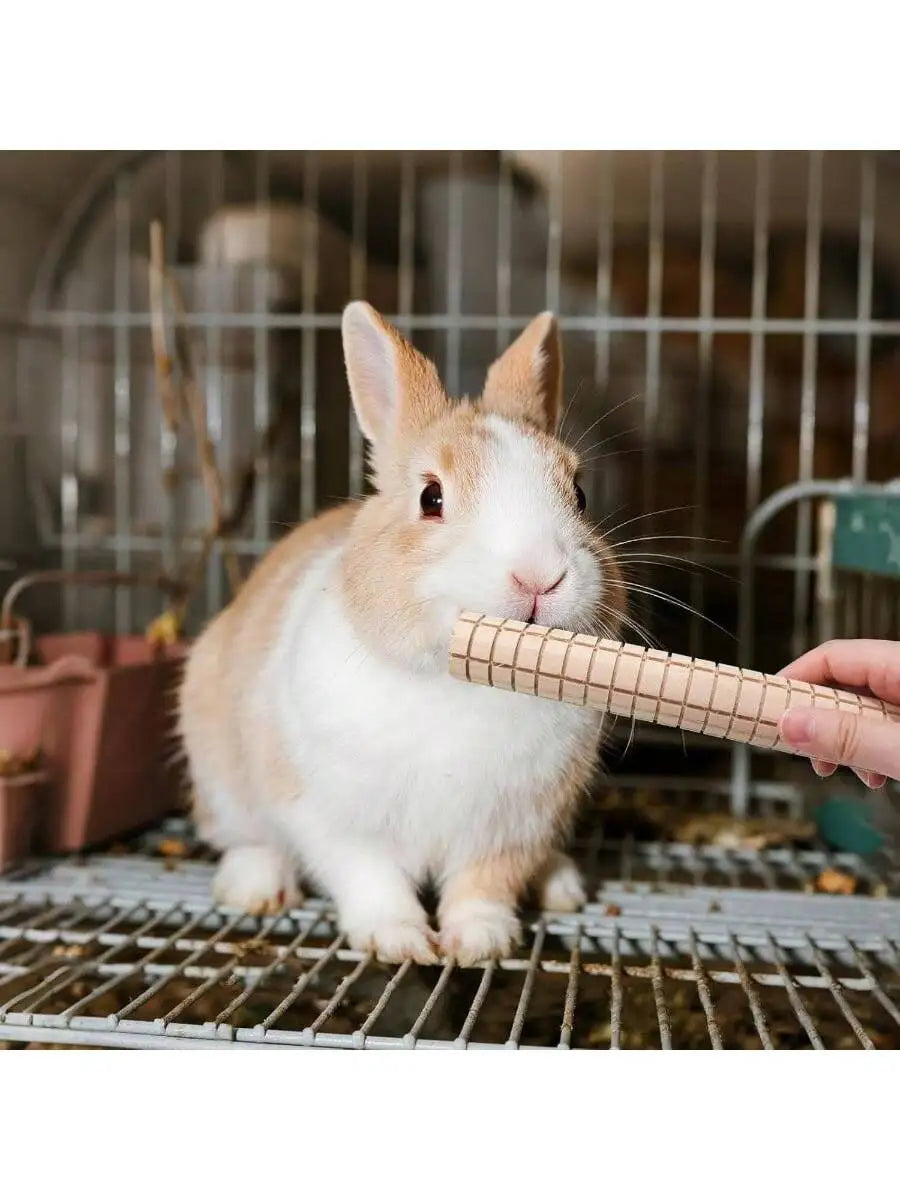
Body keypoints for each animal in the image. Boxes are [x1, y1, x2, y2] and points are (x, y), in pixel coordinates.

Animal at [178, 302, 625, 966]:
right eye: (431, 497)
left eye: (581, 493)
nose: (540, 575)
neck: (462, 684)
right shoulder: (334, 818)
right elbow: (371, 879)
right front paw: (400, 941)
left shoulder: (512, 828)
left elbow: (484, 886)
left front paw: (479, 942)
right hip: (221, 774)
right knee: (248, 837)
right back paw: (257, 887)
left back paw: (561, 885)